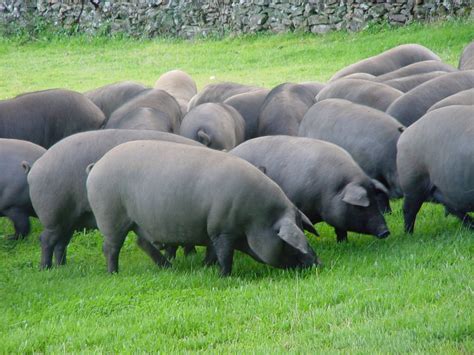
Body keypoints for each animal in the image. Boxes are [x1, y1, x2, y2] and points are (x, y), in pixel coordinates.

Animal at [27, 129, 202, 270]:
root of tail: (34, 168)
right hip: (55, 216)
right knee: (46, 240)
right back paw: (45, 268)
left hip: (69, 221)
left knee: (61, 243)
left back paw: (62, 266)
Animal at [87, 140, 320, 276]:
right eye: (289, 243)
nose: (318, 263)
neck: (256, 219)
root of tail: (96, 165)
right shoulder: (222, 229)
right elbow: (225, 255)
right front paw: (223, 276)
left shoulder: (211, 230)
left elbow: (212, 252)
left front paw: (205, 267)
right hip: (110, 218)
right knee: (110, 248)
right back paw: (114, 274)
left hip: (138, 222)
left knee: (141, 242)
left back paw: (168, 268)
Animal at [230, 136, 388, 242]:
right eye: (361, 207)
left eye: (375, 201)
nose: (385, 231)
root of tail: (233, 151)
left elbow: (340, 228)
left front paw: (343, 243)